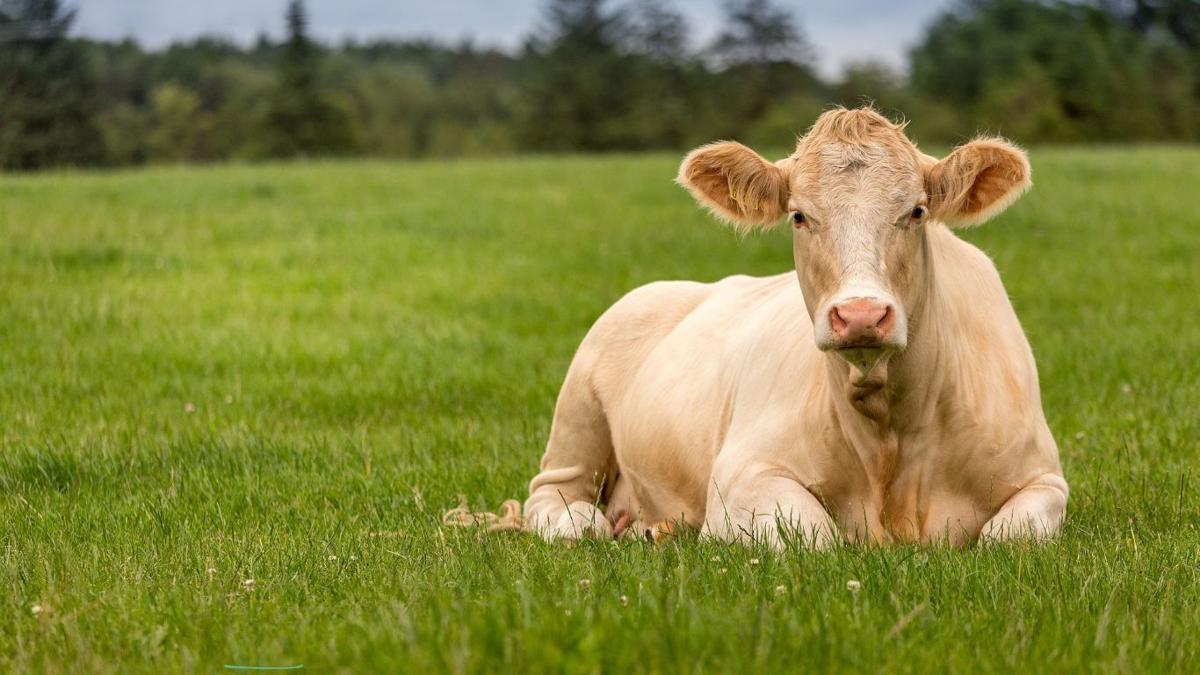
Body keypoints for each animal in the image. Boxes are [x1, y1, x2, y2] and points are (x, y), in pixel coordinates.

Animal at [519, 107, 1067, 548]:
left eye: (916, 211)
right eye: (799, 216)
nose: (861, 314)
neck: (890, 432)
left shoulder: (1045, 478)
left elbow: (1007, 536)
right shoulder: (741, 474)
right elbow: (816, 538)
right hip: (578, 415)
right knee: (550, 497)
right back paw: (588, 524)